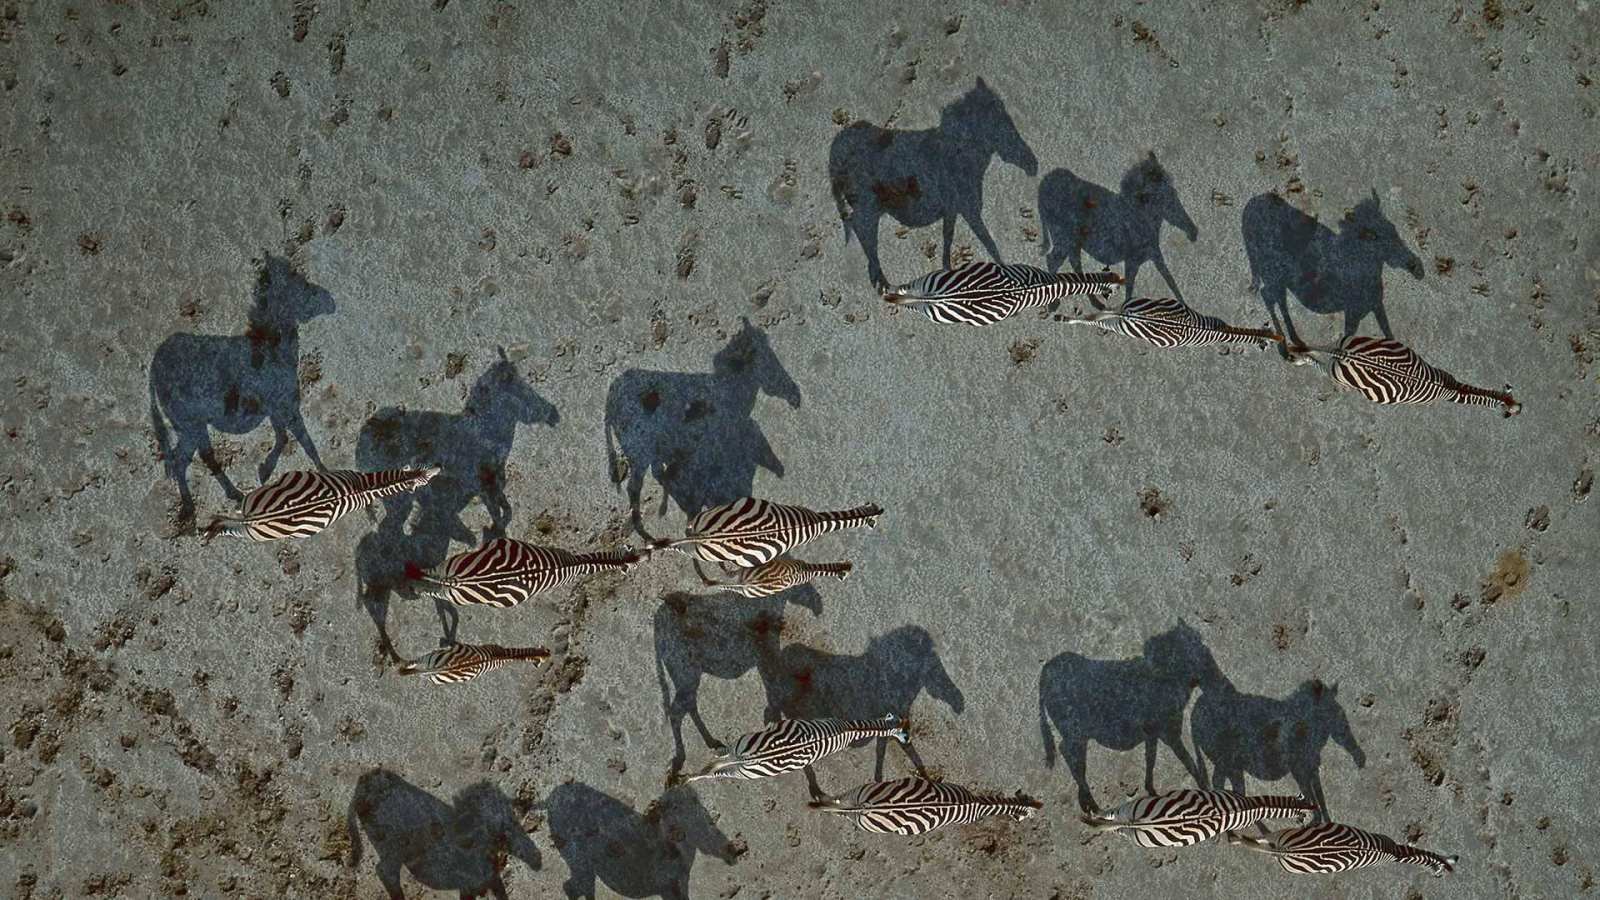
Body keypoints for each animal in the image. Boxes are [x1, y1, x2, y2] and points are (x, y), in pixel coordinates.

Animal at [148, 254, 334, 529]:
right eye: (300, 282)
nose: (331, 301)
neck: (270, 345)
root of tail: (156, 362)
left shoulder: (276, 410)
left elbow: (283, 438)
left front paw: (265, 471)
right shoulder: (287, 406)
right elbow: (306, 445)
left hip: (187, 426)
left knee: (183, 459)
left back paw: (212, 503)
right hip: (192, 424)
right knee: (193, 458)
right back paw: (210, 504)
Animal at [829, 77, 1038, 289]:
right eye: (999, 122)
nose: (1033, 164)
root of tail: (836, 148)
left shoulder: (952, 209)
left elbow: (949, 238)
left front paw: (947, 272)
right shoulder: (967, 208)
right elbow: (989, 243)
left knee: (856, 227)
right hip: (867, 207)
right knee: (862, 230)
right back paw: (881, 281)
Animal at [1038, 152, 1198, 303]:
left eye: (1174, 193)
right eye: (1165, 199)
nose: (1193, 232)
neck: (1139, 219)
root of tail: (1045, 182)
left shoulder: (1154, 256)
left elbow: (1171, 282)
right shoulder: (1133, 262)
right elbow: (1133, 291)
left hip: (1072, 242)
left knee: (1073, 262)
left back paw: (1095, 302)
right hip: (1064, 238)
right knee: (1054, 260)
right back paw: (1052, 304)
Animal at [1038, 620, 1218, 813]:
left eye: (1198, 639)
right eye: (1189, 645)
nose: (1208, 666)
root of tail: (1048, 669)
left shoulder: (1153, 734)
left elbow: (1151, 759)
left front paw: (1151, 792)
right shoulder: (1168, 733)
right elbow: (1188, 761)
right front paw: (1205, 791)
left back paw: (1086, 802)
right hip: (1075, 732)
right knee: (1070, 755)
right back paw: (1093, 804)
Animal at [1242, 189, 1423, 347]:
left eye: (1393, 228)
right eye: (1375, 238)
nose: (1416, 267)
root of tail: (1253, 204)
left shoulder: (1377, 306)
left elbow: (1389, 335)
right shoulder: (1353, 313)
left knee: (1272, 297)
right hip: (1274, 275)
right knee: (1270, 297)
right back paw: (1290, 341)